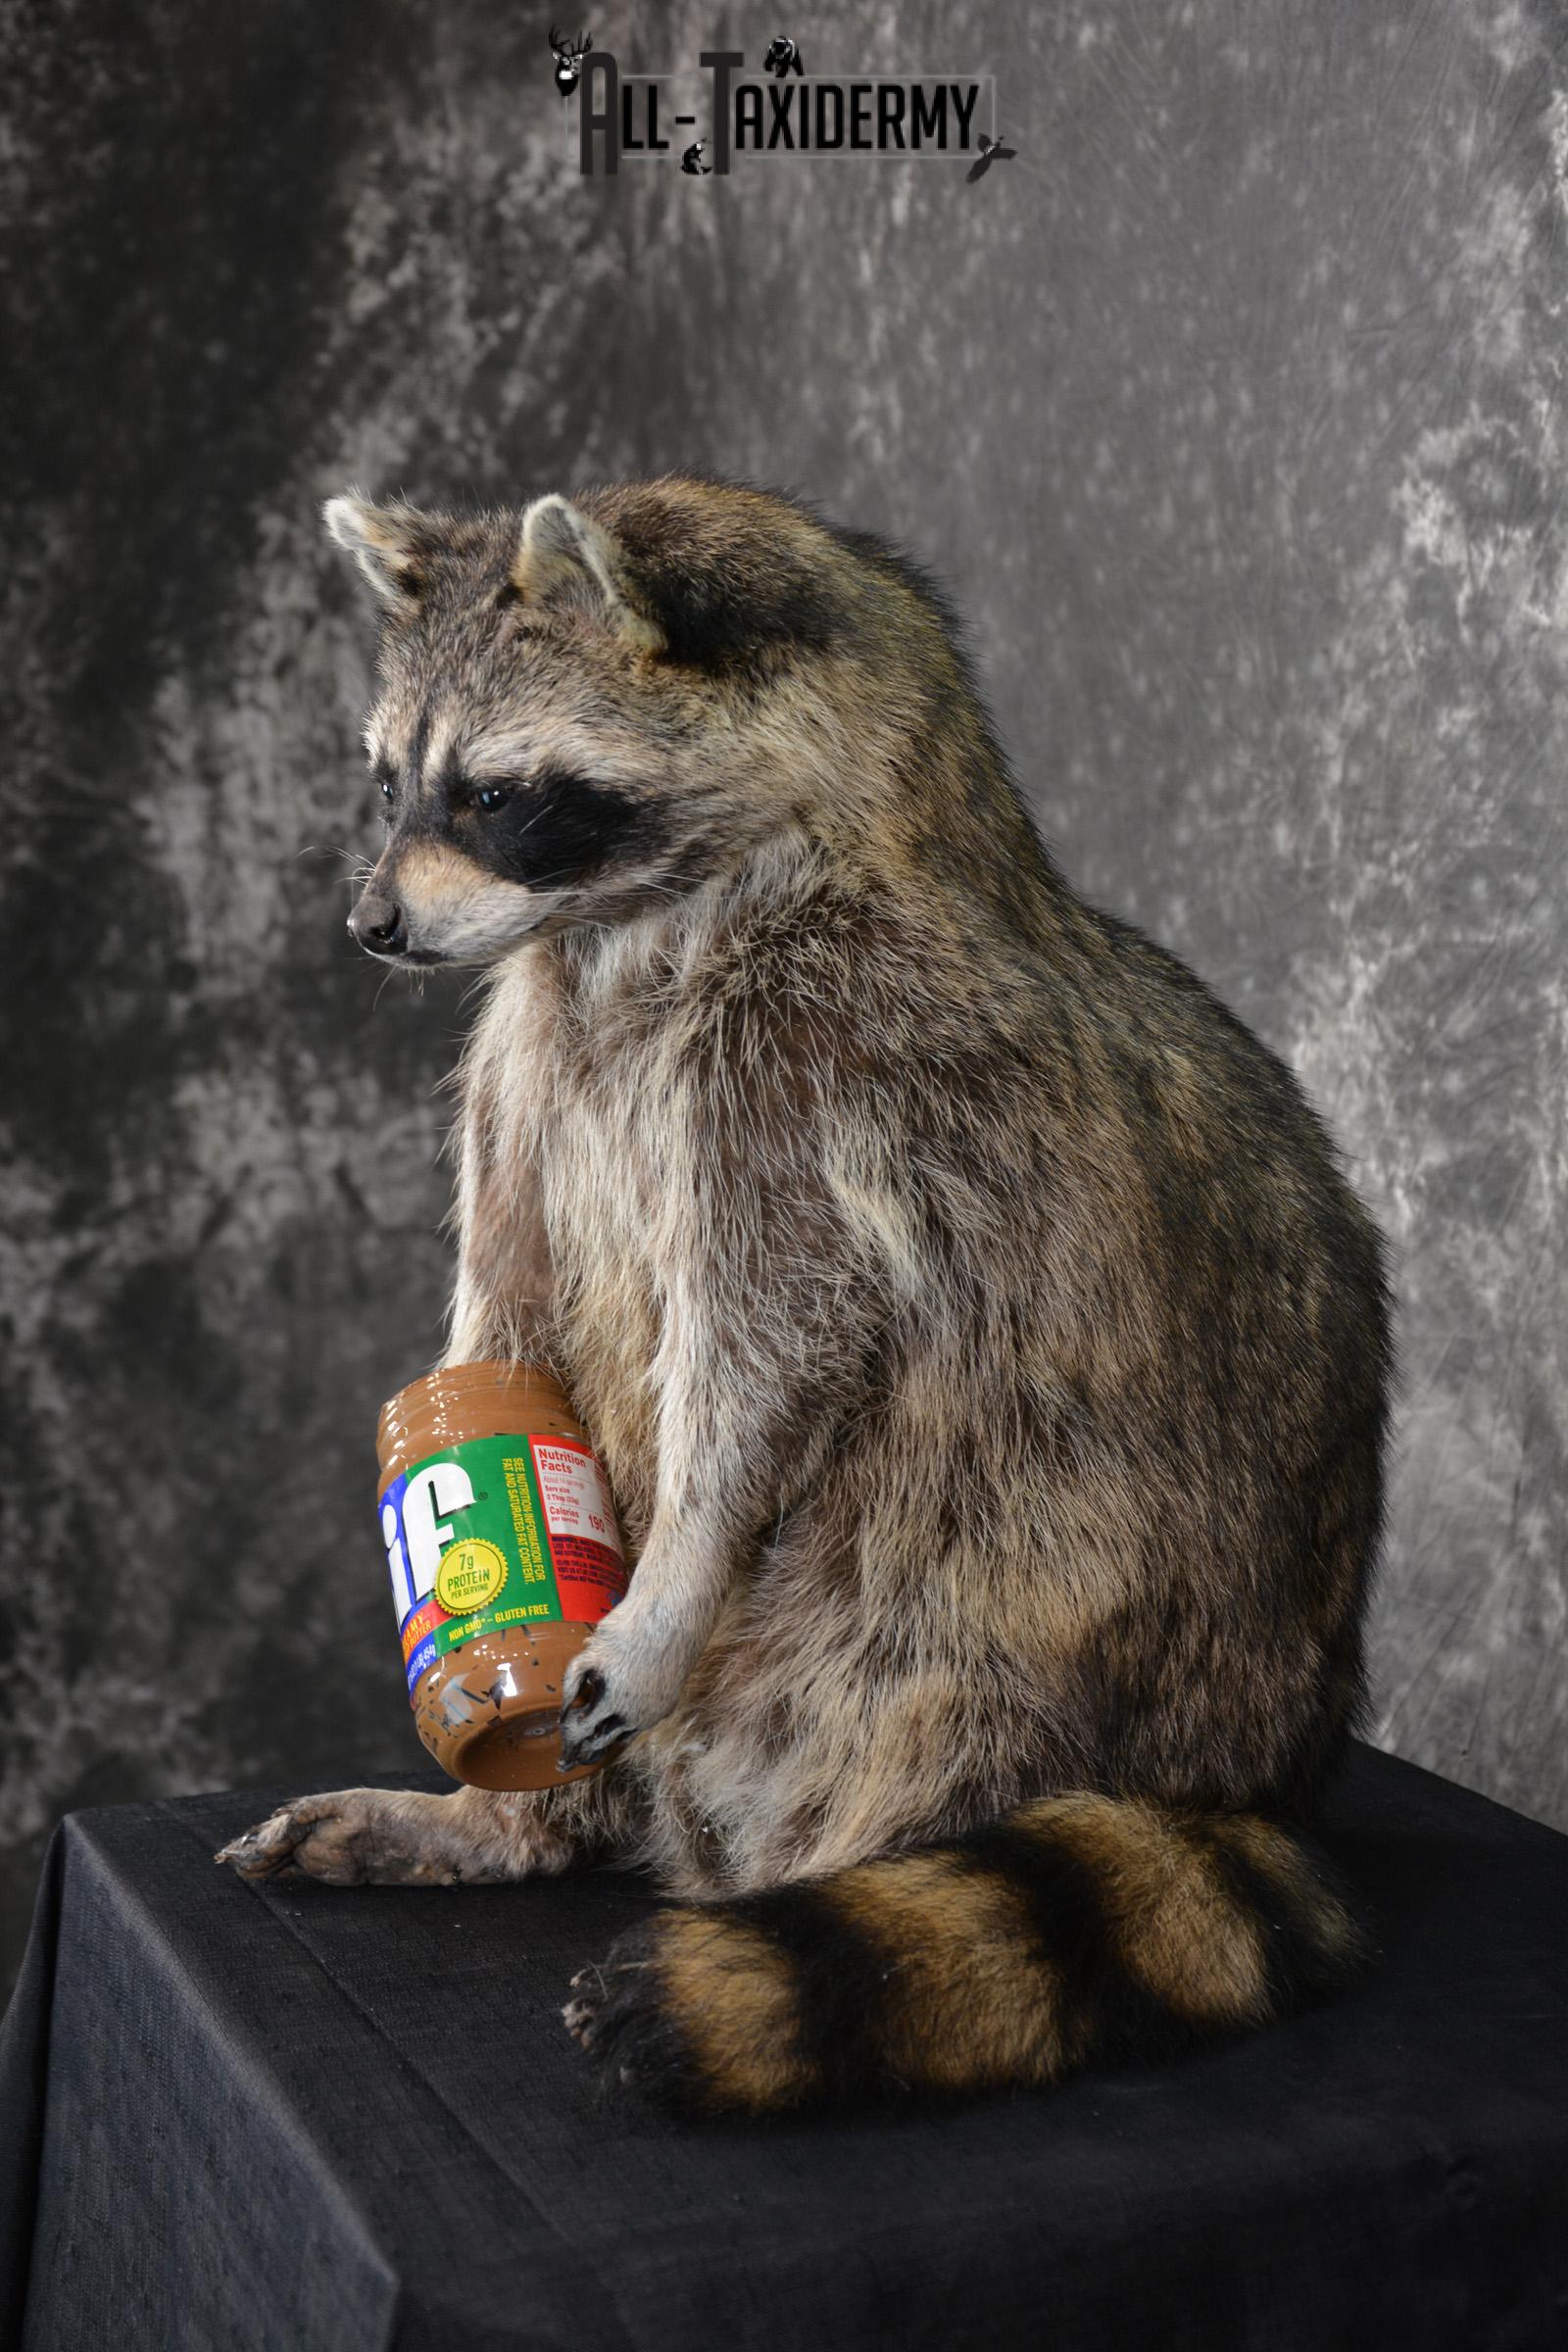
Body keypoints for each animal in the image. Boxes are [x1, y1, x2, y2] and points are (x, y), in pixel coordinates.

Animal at [217, 475, 1391, 2116]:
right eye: (392, 782)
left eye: (496, 798)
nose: (372, 927)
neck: (629, 922)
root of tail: (1268, 1781)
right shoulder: (525, 1045)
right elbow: (508, 1308)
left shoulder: (828, 1064)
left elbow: (781, 1350)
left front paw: (671, 1574)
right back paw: (522, 1824)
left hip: (1031, 1616)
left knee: (931, 1694)